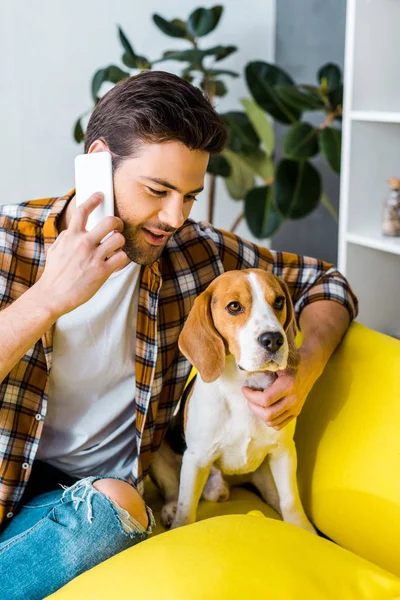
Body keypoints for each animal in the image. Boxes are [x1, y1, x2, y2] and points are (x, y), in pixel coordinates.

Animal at [150, 268, 316, 536]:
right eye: (234, 306)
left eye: (279, 301)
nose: (273, 340)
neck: (242, 385)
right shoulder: (196, 459)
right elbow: (186, 508)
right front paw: (179, 525)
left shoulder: (283, 451)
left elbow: (290, 499)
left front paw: (303, 529)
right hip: (159, 452)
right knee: (174, 491)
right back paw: (169, 509)